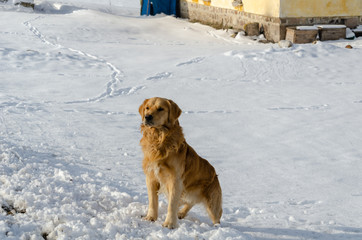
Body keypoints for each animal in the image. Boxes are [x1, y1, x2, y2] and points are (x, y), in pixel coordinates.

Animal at [139, 96, 222, 228]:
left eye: (160, 109)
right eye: (147, 107)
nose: (147, 117)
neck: (160, 139)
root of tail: (215, 174)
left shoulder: (175, 180)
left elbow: (172, 204)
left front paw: (169, 224)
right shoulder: (151, 176)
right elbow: (153, 201)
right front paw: (150, 218)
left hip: (212, 203)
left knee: (216, 216)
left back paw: (217, 228)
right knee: (190, 202)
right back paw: (181, 213)